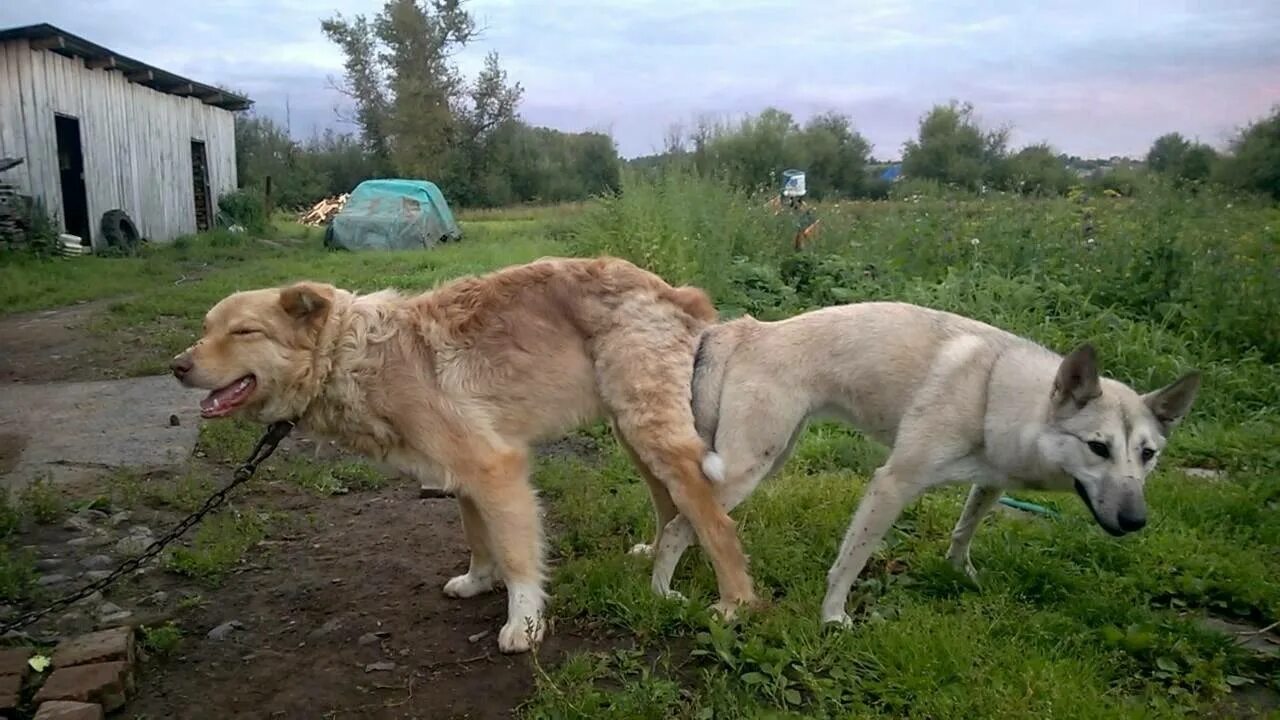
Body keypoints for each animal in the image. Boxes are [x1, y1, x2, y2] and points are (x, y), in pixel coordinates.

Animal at [167, 257, 747, 650]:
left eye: (245, 331)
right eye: (205, 330)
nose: (176, 366)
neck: (352, 355)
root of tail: (674, 291)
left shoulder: (496, 469)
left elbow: (517, 556)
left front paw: (524, 624)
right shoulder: (463, 475)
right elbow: (479, 539)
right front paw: (477, 581)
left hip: (651, 435)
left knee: (718, 523)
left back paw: (737, 603)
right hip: (633, 437)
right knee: (672, 506)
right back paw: (660, 553)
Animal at [637, 297, 1198, 622]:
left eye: (1148, 455)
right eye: (1098, 447)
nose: (1136, 521)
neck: (998, 393)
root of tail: (750, 329)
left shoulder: (990, 482)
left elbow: (964, 530)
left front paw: (960, 572)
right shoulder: (893, 484)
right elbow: (849, 562)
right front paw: (833, 619)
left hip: (769, 457)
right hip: (748, 468)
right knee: (682, 524)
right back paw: (663, 594)